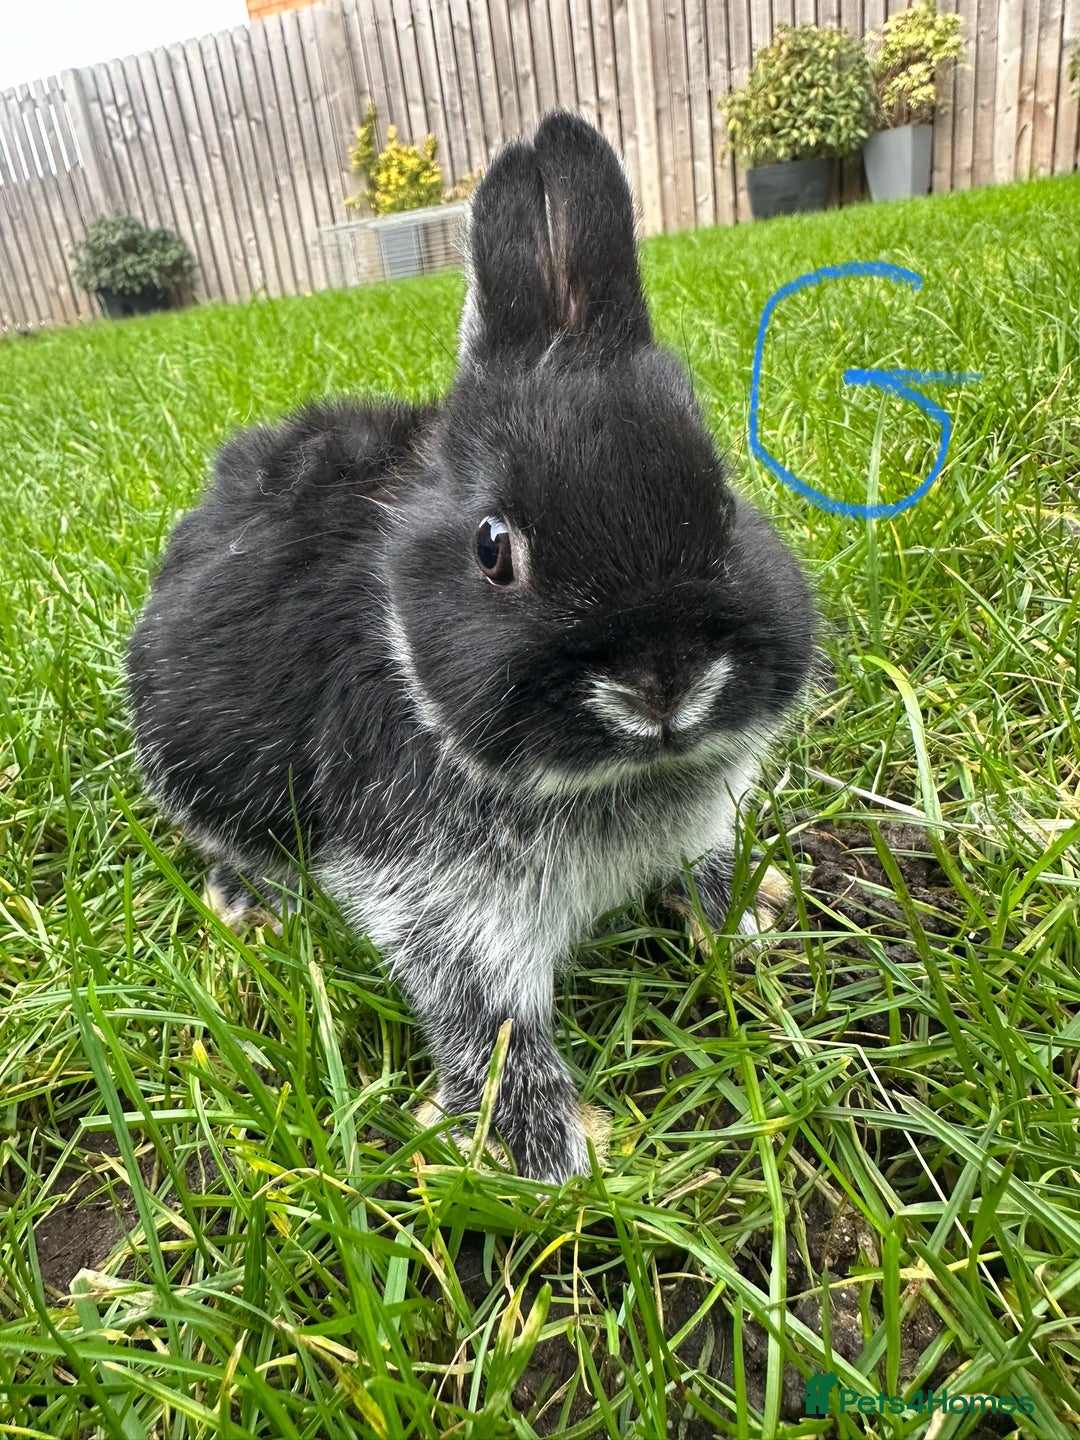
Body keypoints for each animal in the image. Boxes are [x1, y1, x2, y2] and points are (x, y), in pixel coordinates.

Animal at [126, 110, 815, 1184]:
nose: (663, 685)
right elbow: (485, 1015)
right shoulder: (437, 902)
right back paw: (251, 902)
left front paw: (745, 916)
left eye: (723, 498)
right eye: (495, 549)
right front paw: (541, 1154)